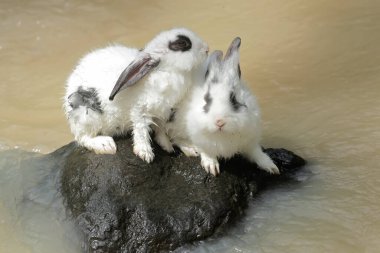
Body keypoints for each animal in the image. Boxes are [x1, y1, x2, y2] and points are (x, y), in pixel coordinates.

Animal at [63, 27, 209, 162]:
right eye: (182, 44)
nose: (207, 49)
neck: (165, 71)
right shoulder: (140, 109)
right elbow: (141, 130)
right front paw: (145, 154)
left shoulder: (163, 111)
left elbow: (160, 129)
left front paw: (167, 146)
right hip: (86, 115)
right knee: (83, 138)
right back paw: (106, 145)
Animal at [163, 38, 280, 176]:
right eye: (207, 99)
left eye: (233, 99)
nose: (220, 122)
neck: (223, 135)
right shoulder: (201, 139)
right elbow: (206, 152)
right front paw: (211, 167)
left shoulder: (250, 141)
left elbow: (256, 153)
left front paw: (272, 167)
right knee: (174, 138)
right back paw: (190, 149)